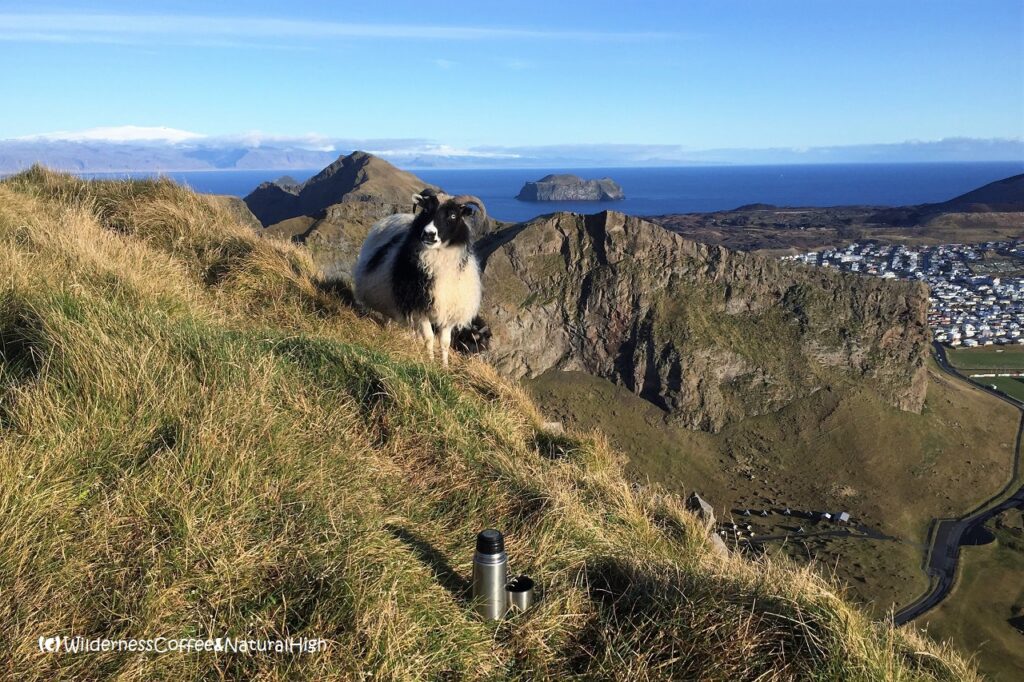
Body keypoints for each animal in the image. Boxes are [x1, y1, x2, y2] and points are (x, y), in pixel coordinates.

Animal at [353, 189, 485, 367]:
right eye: (426, 210)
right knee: (389, 316)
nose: (428, 234)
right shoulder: (419, 307)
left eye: (453, 215)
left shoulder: (449, 311)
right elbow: (429, 338)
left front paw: (444, 366)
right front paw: (430, 362)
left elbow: (445, 342)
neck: (438, 260)